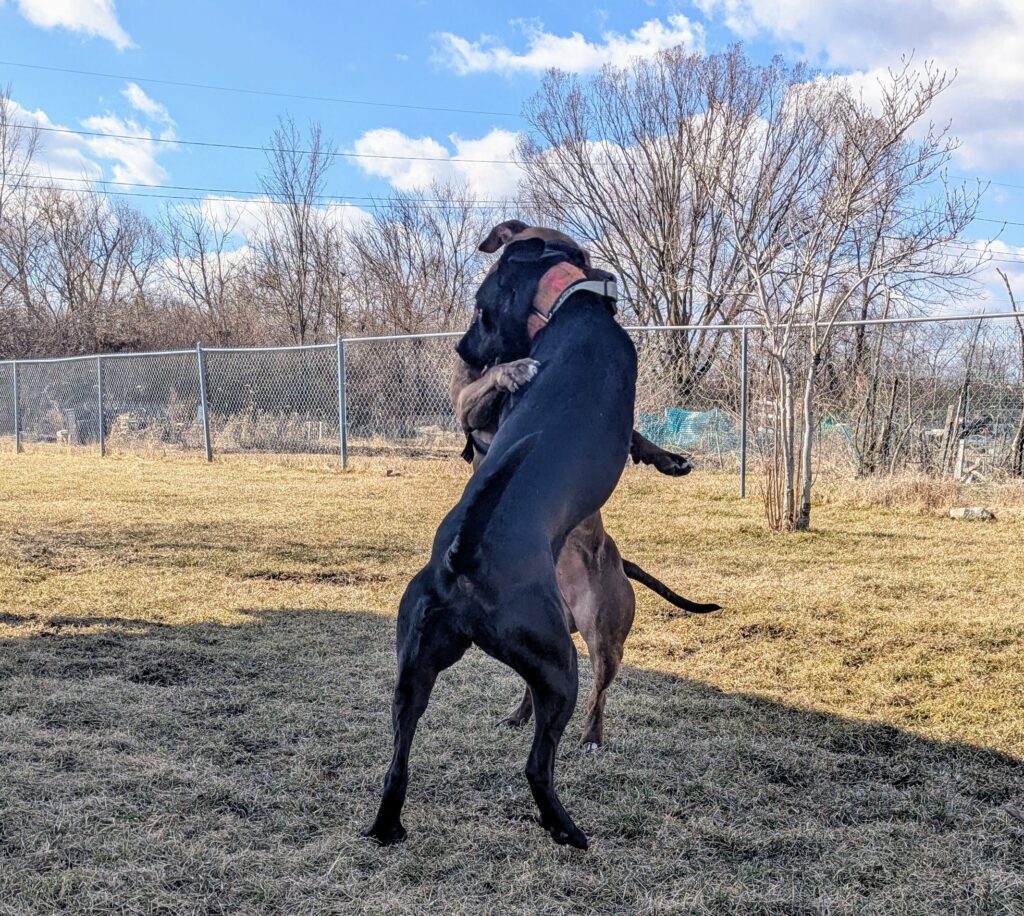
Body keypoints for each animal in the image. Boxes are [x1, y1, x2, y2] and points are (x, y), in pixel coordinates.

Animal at [360, 236, 630, 851]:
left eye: (479, 310)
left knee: (397, 759)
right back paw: (565, 830)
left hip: (414, 671)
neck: (571, 306)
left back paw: (388, 826)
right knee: (538, 765)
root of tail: (464, 555)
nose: (461, 349)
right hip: (559, 668)